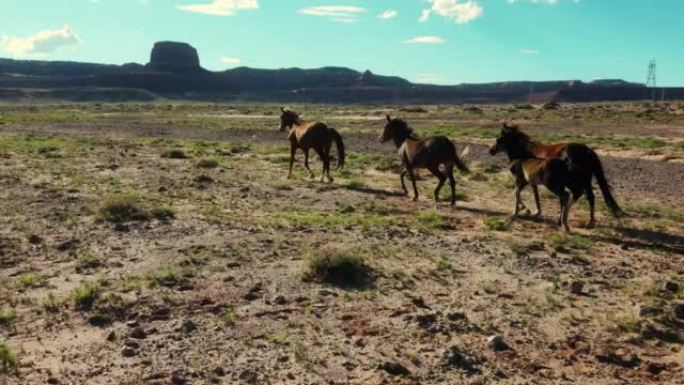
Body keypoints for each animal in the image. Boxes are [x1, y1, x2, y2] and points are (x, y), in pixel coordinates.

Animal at [488, 124, 624, 228]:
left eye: (499, 139)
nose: (491, 151)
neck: (524, 153)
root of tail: (588, 151)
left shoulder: (525, 180)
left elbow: (519, 193)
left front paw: (527, 210)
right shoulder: (532, 181)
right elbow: (532, 196)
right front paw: (529, 210)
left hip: (577, 181)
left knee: (578, 196)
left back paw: (580, 221)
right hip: (582, 180)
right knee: (586, 196)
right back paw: (579, 221)